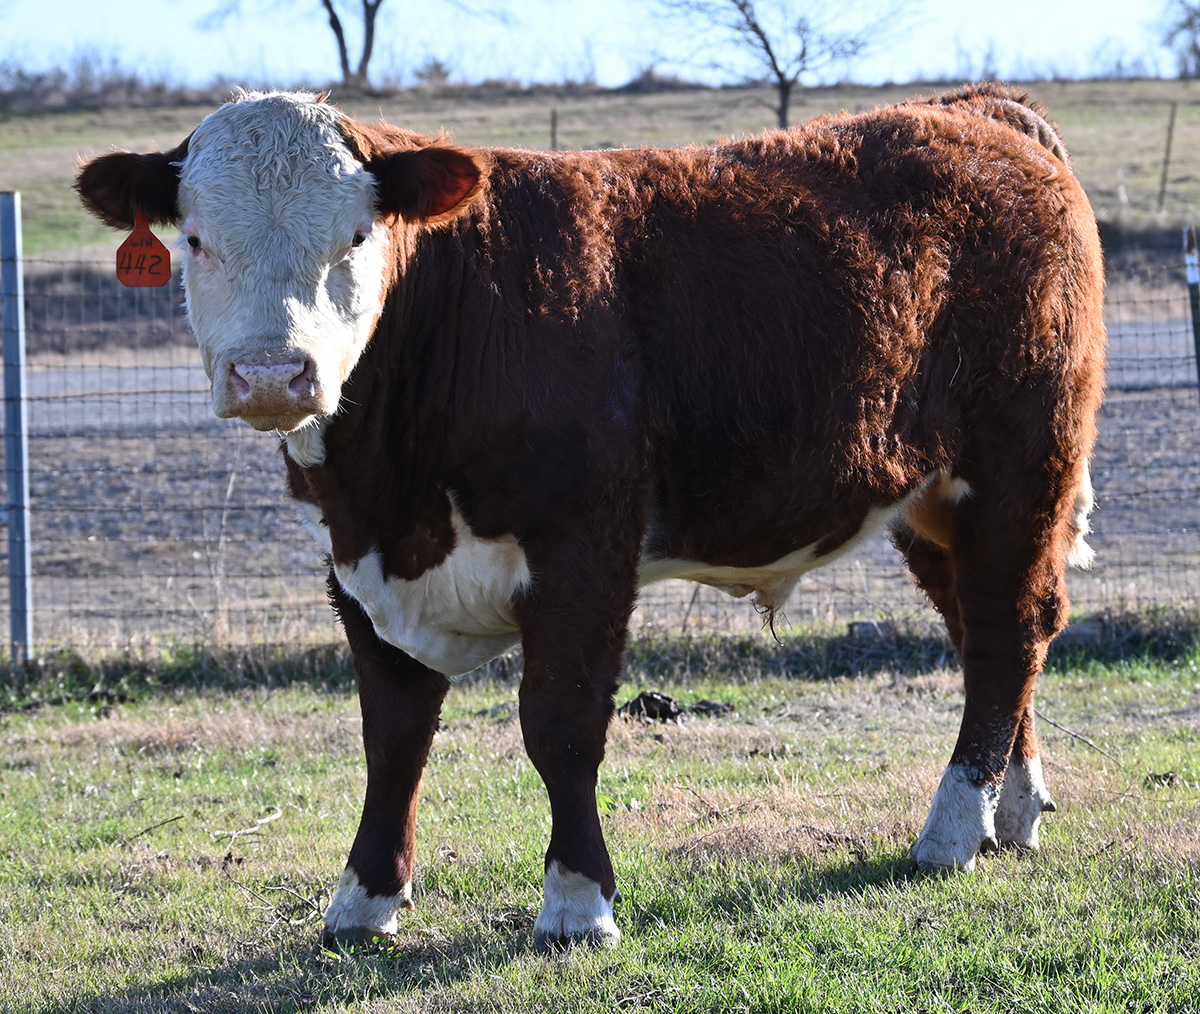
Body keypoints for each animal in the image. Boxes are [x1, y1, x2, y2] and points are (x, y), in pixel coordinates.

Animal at [76, 84, 1106, 949]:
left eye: (358, 236)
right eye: (195, 238)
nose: (271, 374)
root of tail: (976, 110)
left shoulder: (582, 553)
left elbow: (561, 726)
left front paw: (577, 903)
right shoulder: (356, 566)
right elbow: (392, 734)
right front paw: (363, 901)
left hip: (1019, 461)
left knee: (1010, 627)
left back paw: (952, 829)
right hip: (929, 496)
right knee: (985, 631)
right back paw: (1011, 812)